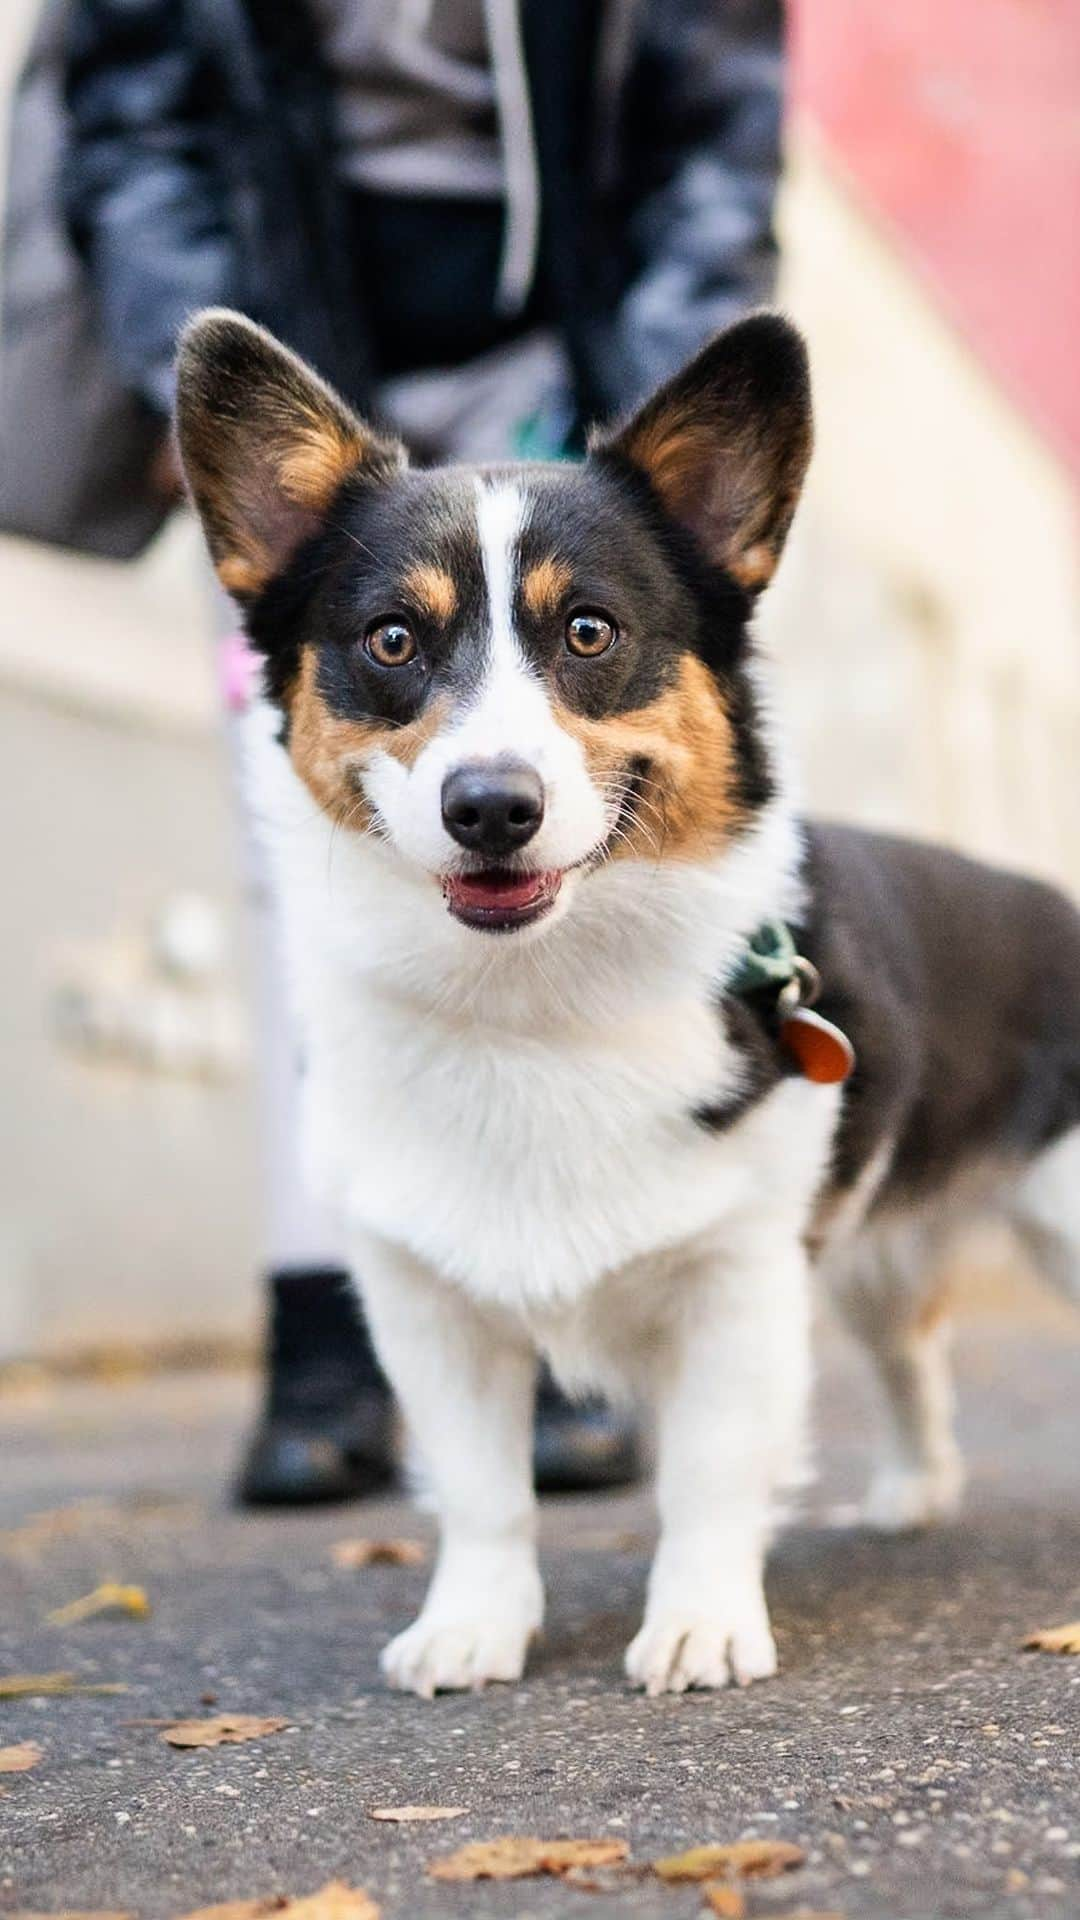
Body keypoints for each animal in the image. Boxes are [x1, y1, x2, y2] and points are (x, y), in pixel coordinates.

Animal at [176, 314, 1076, 1697]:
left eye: (590, 634)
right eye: (393, 641)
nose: (491, 809)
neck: (535, 1001)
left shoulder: (738, 1280)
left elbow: (708, 1477)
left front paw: (700, 1626)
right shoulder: (425, 1305)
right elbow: (483, 1494)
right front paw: (472, 1628)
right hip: (871, 1257)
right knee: (911, 1353)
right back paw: (914, 1493)